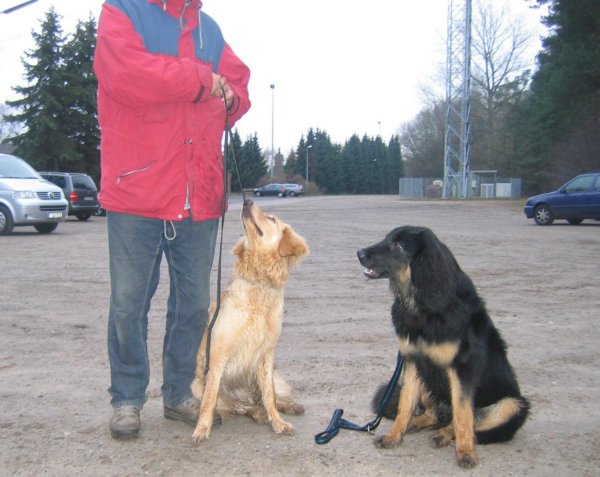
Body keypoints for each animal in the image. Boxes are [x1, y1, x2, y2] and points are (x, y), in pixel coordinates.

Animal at [191, 198, 308, 442]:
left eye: (271, 218)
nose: (248, 200)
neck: (260, 284)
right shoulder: (217, 356)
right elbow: (209, 401)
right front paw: (202, 429)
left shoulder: (267, 354)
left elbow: (270, 396)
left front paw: (278, 423)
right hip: (198, 386)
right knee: (245, 407)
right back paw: (259, 414)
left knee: (269, 398)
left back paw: (289, 407)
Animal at [356, 225, 528, 466]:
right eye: (386, 239)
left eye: (397, 245)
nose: (359, 253)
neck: (421, 303)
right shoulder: (413, 361)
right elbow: (404, 405)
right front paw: (394, 436)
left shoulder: (462, 368)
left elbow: (463, 415)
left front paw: (465, 452)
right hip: (428, 379)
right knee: (434, 414)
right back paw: (417, 423)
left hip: (513, 403)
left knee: (466, 420)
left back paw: (445, 434)